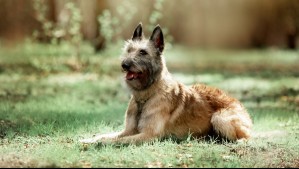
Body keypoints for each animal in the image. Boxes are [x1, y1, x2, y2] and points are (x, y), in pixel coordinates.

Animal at [80, 23, 253, 145]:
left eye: (143, 52)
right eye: (129, 50)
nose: (124, 65)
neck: (146, 95)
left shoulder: (148, 135)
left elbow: (116, 140)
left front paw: (98, 143)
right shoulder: (128, 130)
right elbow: (106, 135)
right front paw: (89, 139)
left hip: (219, 118)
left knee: (246, 137)